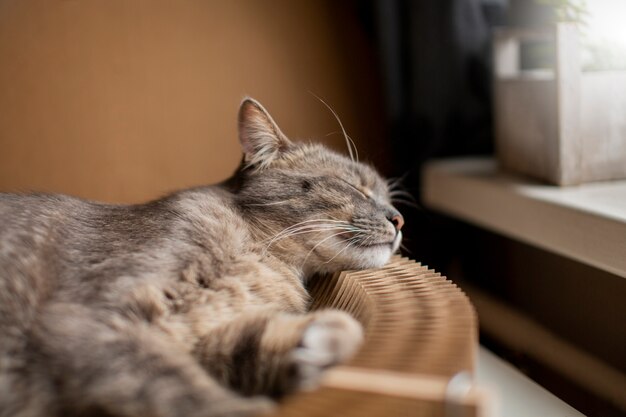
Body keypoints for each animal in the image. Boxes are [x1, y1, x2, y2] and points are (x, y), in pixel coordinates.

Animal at [0, 98, 402, 416]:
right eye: (353, 186)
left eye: (388, 197)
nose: (399, 219)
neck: (268, 261)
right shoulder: (90, 318)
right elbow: (180, 390)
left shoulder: (200, 341)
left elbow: (246, 345)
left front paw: (322, 338)